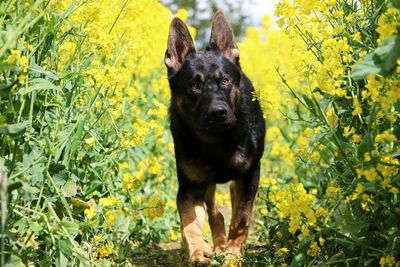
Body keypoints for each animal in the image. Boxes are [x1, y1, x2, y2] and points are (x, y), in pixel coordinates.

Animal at [164, 9, 264, 266]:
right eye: (194, 85)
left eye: (225, 81)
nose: (219, 112)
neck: (218, 141)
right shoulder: (190, 186)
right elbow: (189, 223)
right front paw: (199, 250)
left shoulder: (250, 176)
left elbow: (241, 218)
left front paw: (233, 254)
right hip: (206, 184)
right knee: (214, 212)